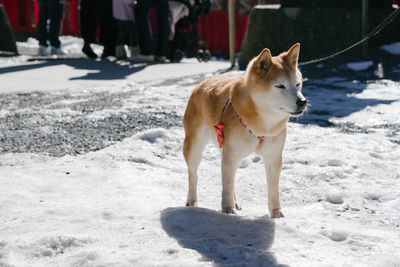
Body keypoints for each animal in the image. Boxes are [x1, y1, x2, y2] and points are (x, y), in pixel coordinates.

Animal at [183, 44, 308, 219]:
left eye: (297, 84)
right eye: (280, 86)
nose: (302, 102)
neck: (262, 125)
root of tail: (201, 84)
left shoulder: (274, 157)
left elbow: (273, 188)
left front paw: (276, 212)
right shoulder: (230, 155)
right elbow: (226, 185)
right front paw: (228, 209)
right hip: (194, 146)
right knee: (193, 174)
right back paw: (192, 200)